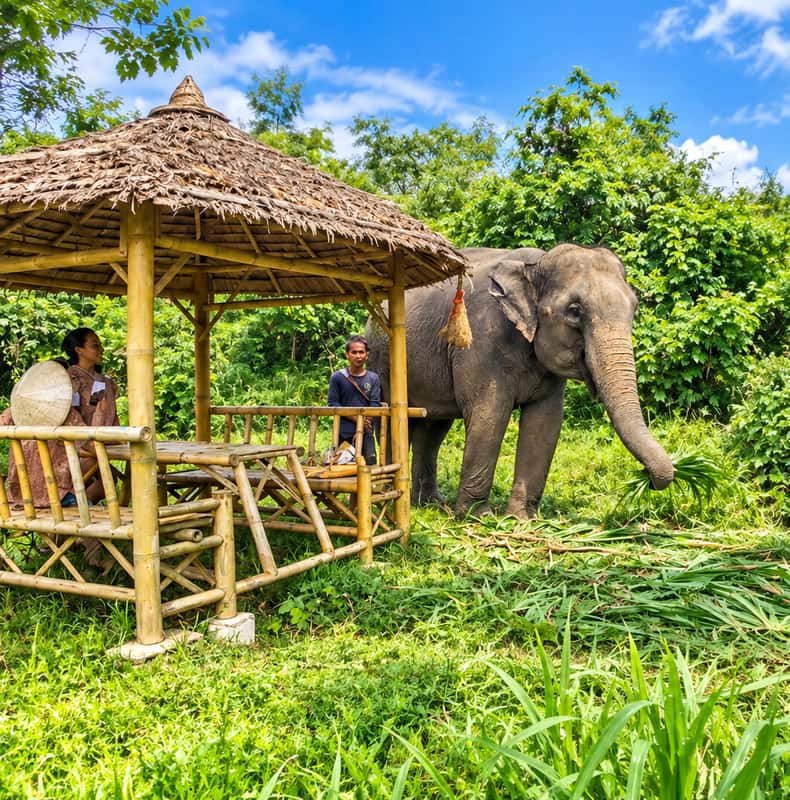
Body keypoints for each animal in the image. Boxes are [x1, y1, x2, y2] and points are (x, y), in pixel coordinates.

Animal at [367, 244, 675, 519]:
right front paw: (479, 517)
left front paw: (522, 519)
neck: (534, 266)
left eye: (634, 307)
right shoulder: (481, 340)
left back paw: (430, 503)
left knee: (433, 427)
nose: (645, 476)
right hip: (382, 360)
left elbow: (544, 423)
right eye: (574, 311)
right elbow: (489, 416)